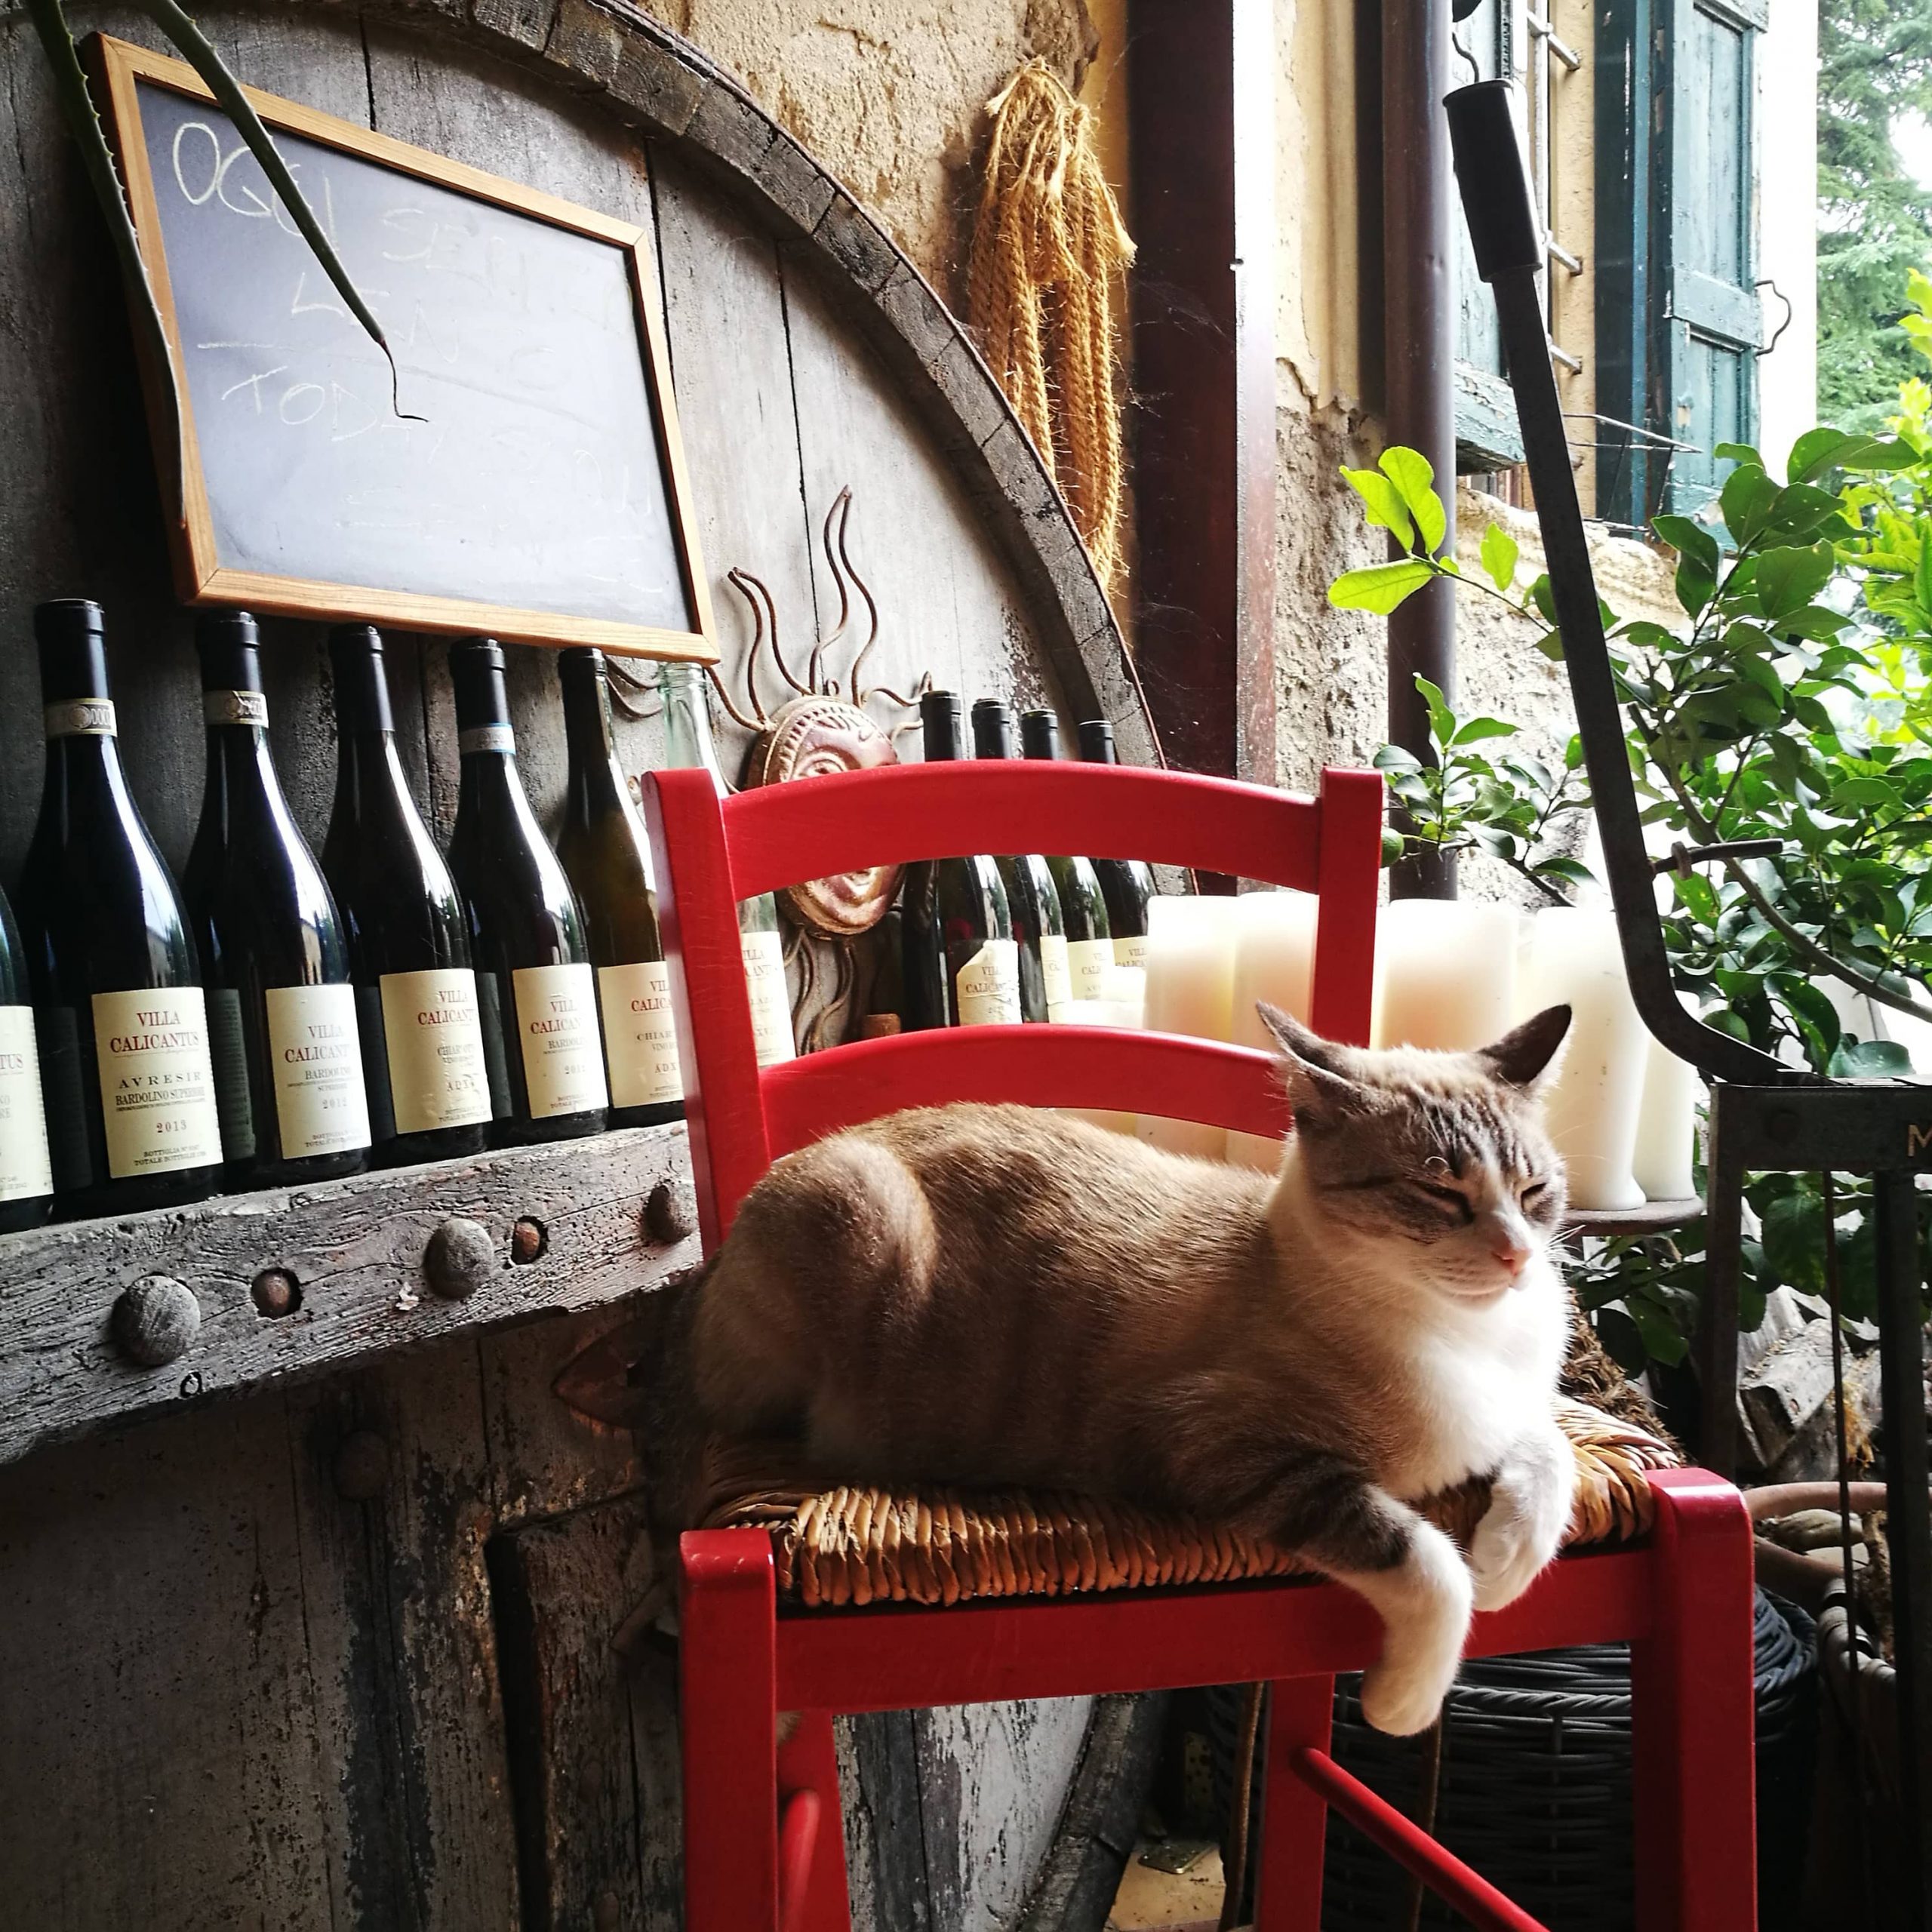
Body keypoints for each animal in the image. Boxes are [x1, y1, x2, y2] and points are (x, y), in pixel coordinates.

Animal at [688, 996, 1576, 1739]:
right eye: (1440, 1195)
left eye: (1534, 1190)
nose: (1515, 1256)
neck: (1467, 1337)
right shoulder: (1222, 1444)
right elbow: (1429, 1565)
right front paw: (1403, 1702)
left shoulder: (1514, 1410)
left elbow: (1552, 1448)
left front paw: (1505, 1563)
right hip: (861, 1207)